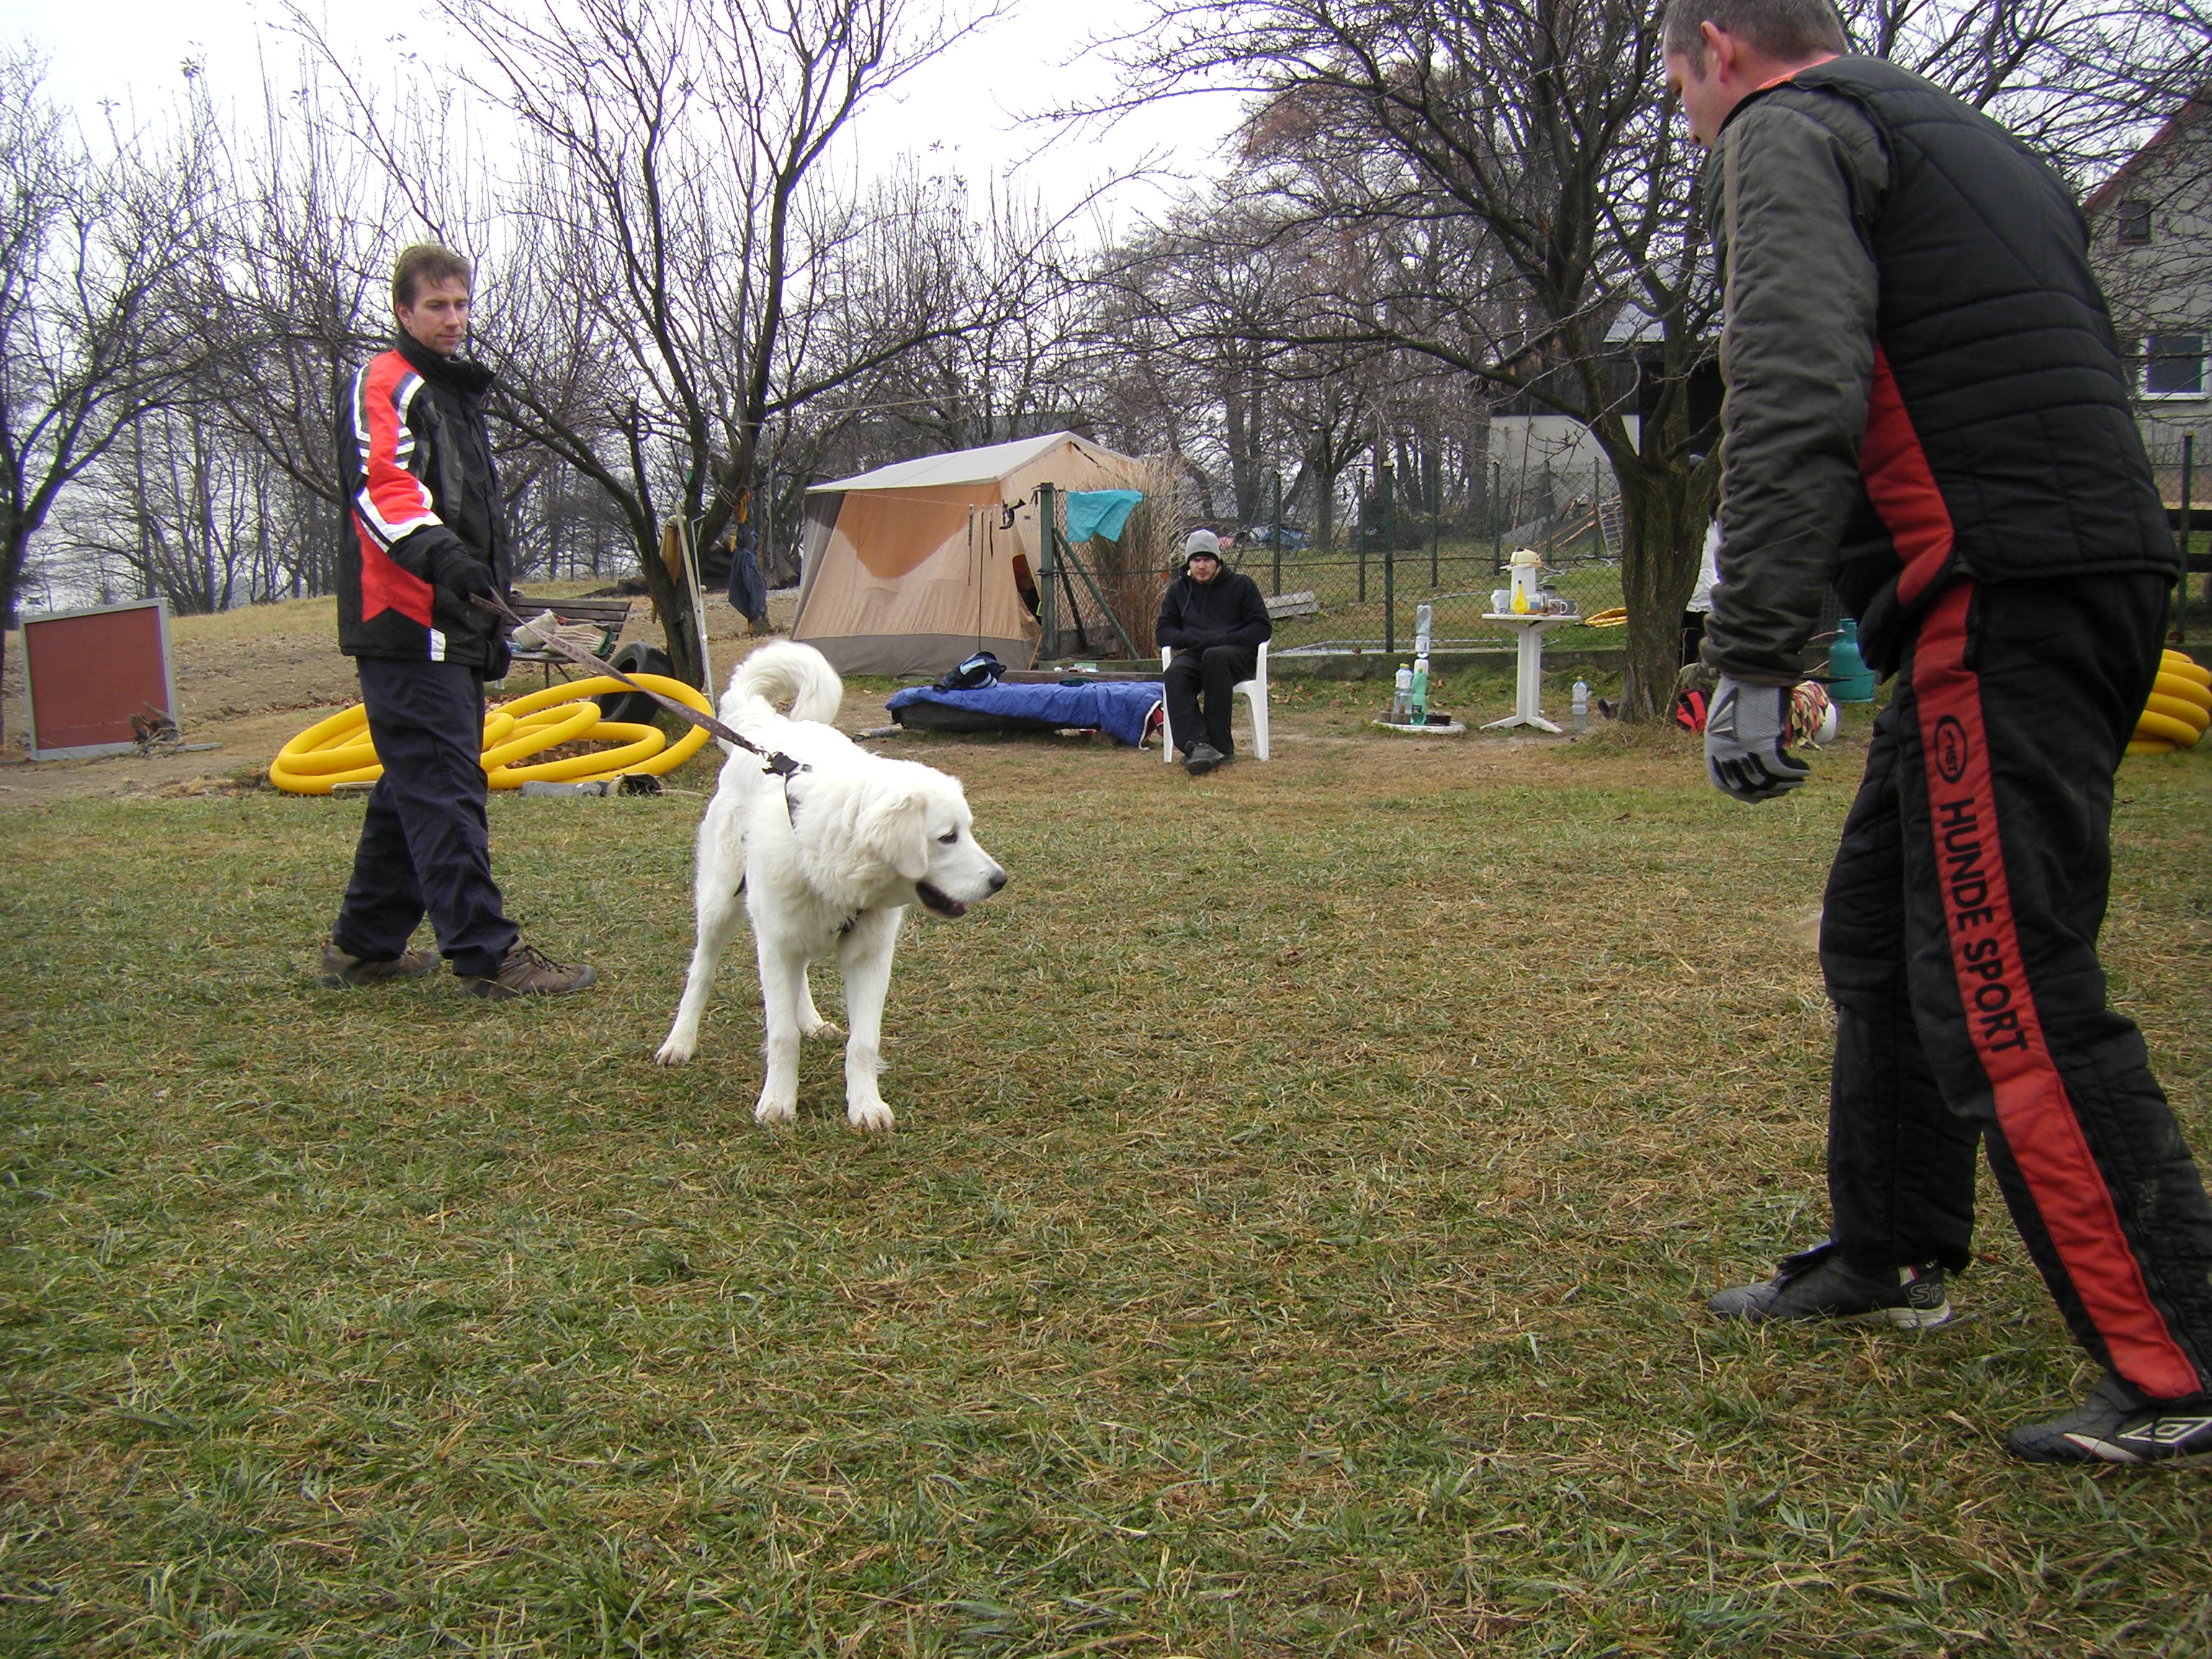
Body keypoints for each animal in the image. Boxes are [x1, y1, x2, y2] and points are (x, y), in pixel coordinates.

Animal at [650, 641, 1008, 1141]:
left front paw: (865, 1104)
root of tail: (772, 731)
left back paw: (812, 1021)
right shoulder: (774, 943)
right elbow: (780, 1035)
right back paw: (680, 1041)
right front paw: (778, 1101)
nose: (1000, 880)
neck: (835, 865)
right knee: (700, 973)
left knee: (799, 975)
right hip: (720, 903)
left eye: (967, 831)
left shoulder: (869, 956)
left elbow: (864, 1041)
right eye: (948, 837)